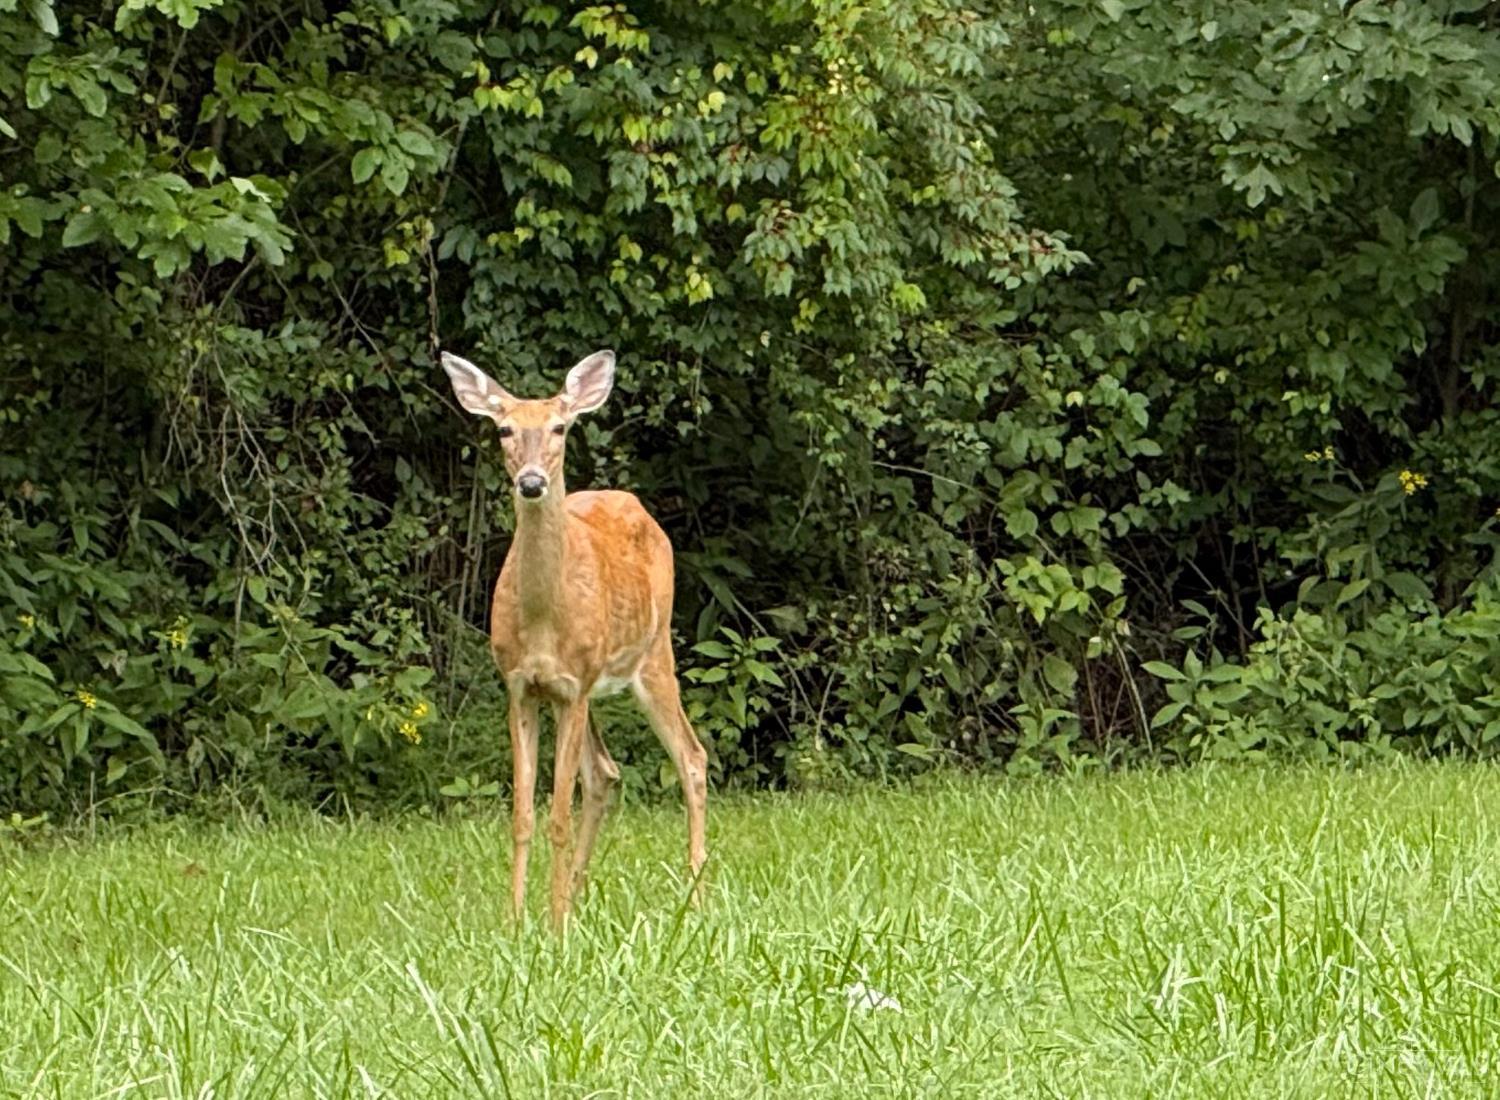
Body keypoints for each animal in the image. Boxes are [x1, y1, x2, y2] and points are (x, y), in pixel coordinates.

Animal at [439, 347, 708, 929]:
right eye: (504, 429)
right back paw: (578, 894)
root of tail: (636, 504)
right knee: (605, 773)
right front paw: (517, 918)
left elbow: (558, 815)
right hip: (592, 690)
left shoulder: (573, 684)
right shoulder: (522, 686)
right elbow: (523, 815)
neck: (544, 621)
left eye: (560, 427)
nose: (532, 482)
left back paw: (695, 893)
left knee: (691, 757)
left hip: (652, 655)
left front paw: (554, 925)